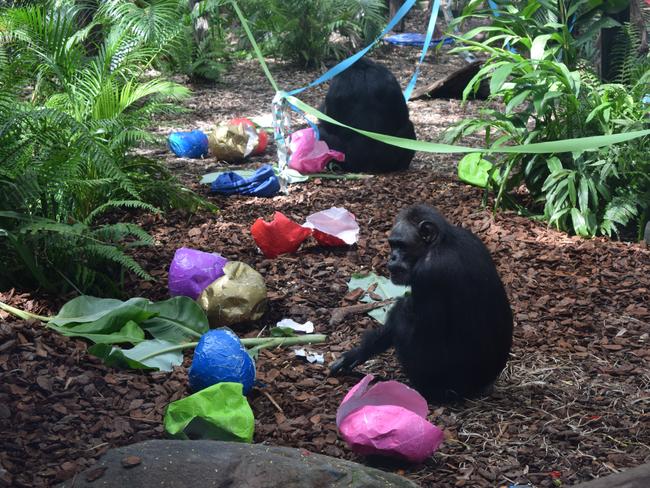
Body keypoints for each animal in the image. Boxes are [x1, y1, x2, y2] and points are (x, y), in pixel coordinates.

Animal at [332, 203, 512, 400]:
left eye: (402, 245)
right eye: (392, 245)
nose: (392, 257)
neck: (440, 244)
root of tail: (483, 386)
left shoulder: (429, 274)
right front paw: (355, 355)